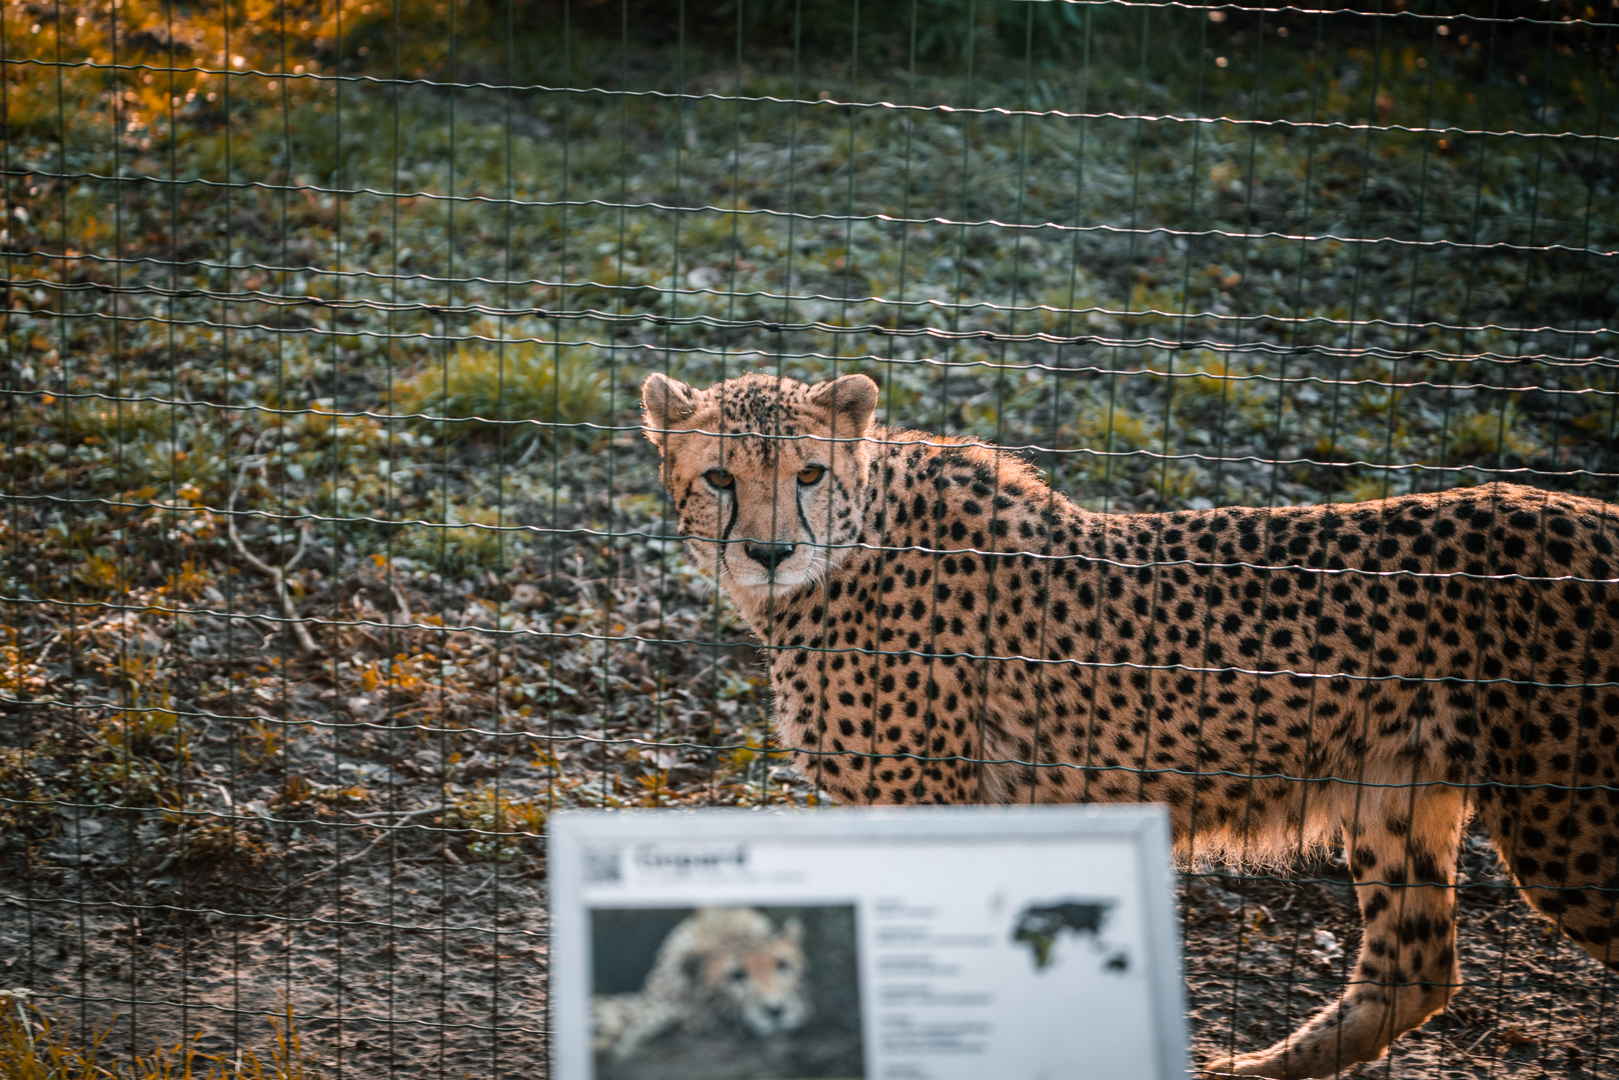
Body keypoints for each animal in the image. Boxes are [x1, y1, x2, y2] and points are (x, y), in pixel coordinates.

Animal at [642, 369, 1619, 1079]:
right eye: (720, 477)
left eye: (807, 473)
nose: (769, 551)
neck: (849, 550)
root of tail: (1586, 510)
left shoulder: (927, 806)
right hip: (1395, 789)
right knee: (1413, 970)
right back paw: (1252, 1070)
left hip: (1567, 827)